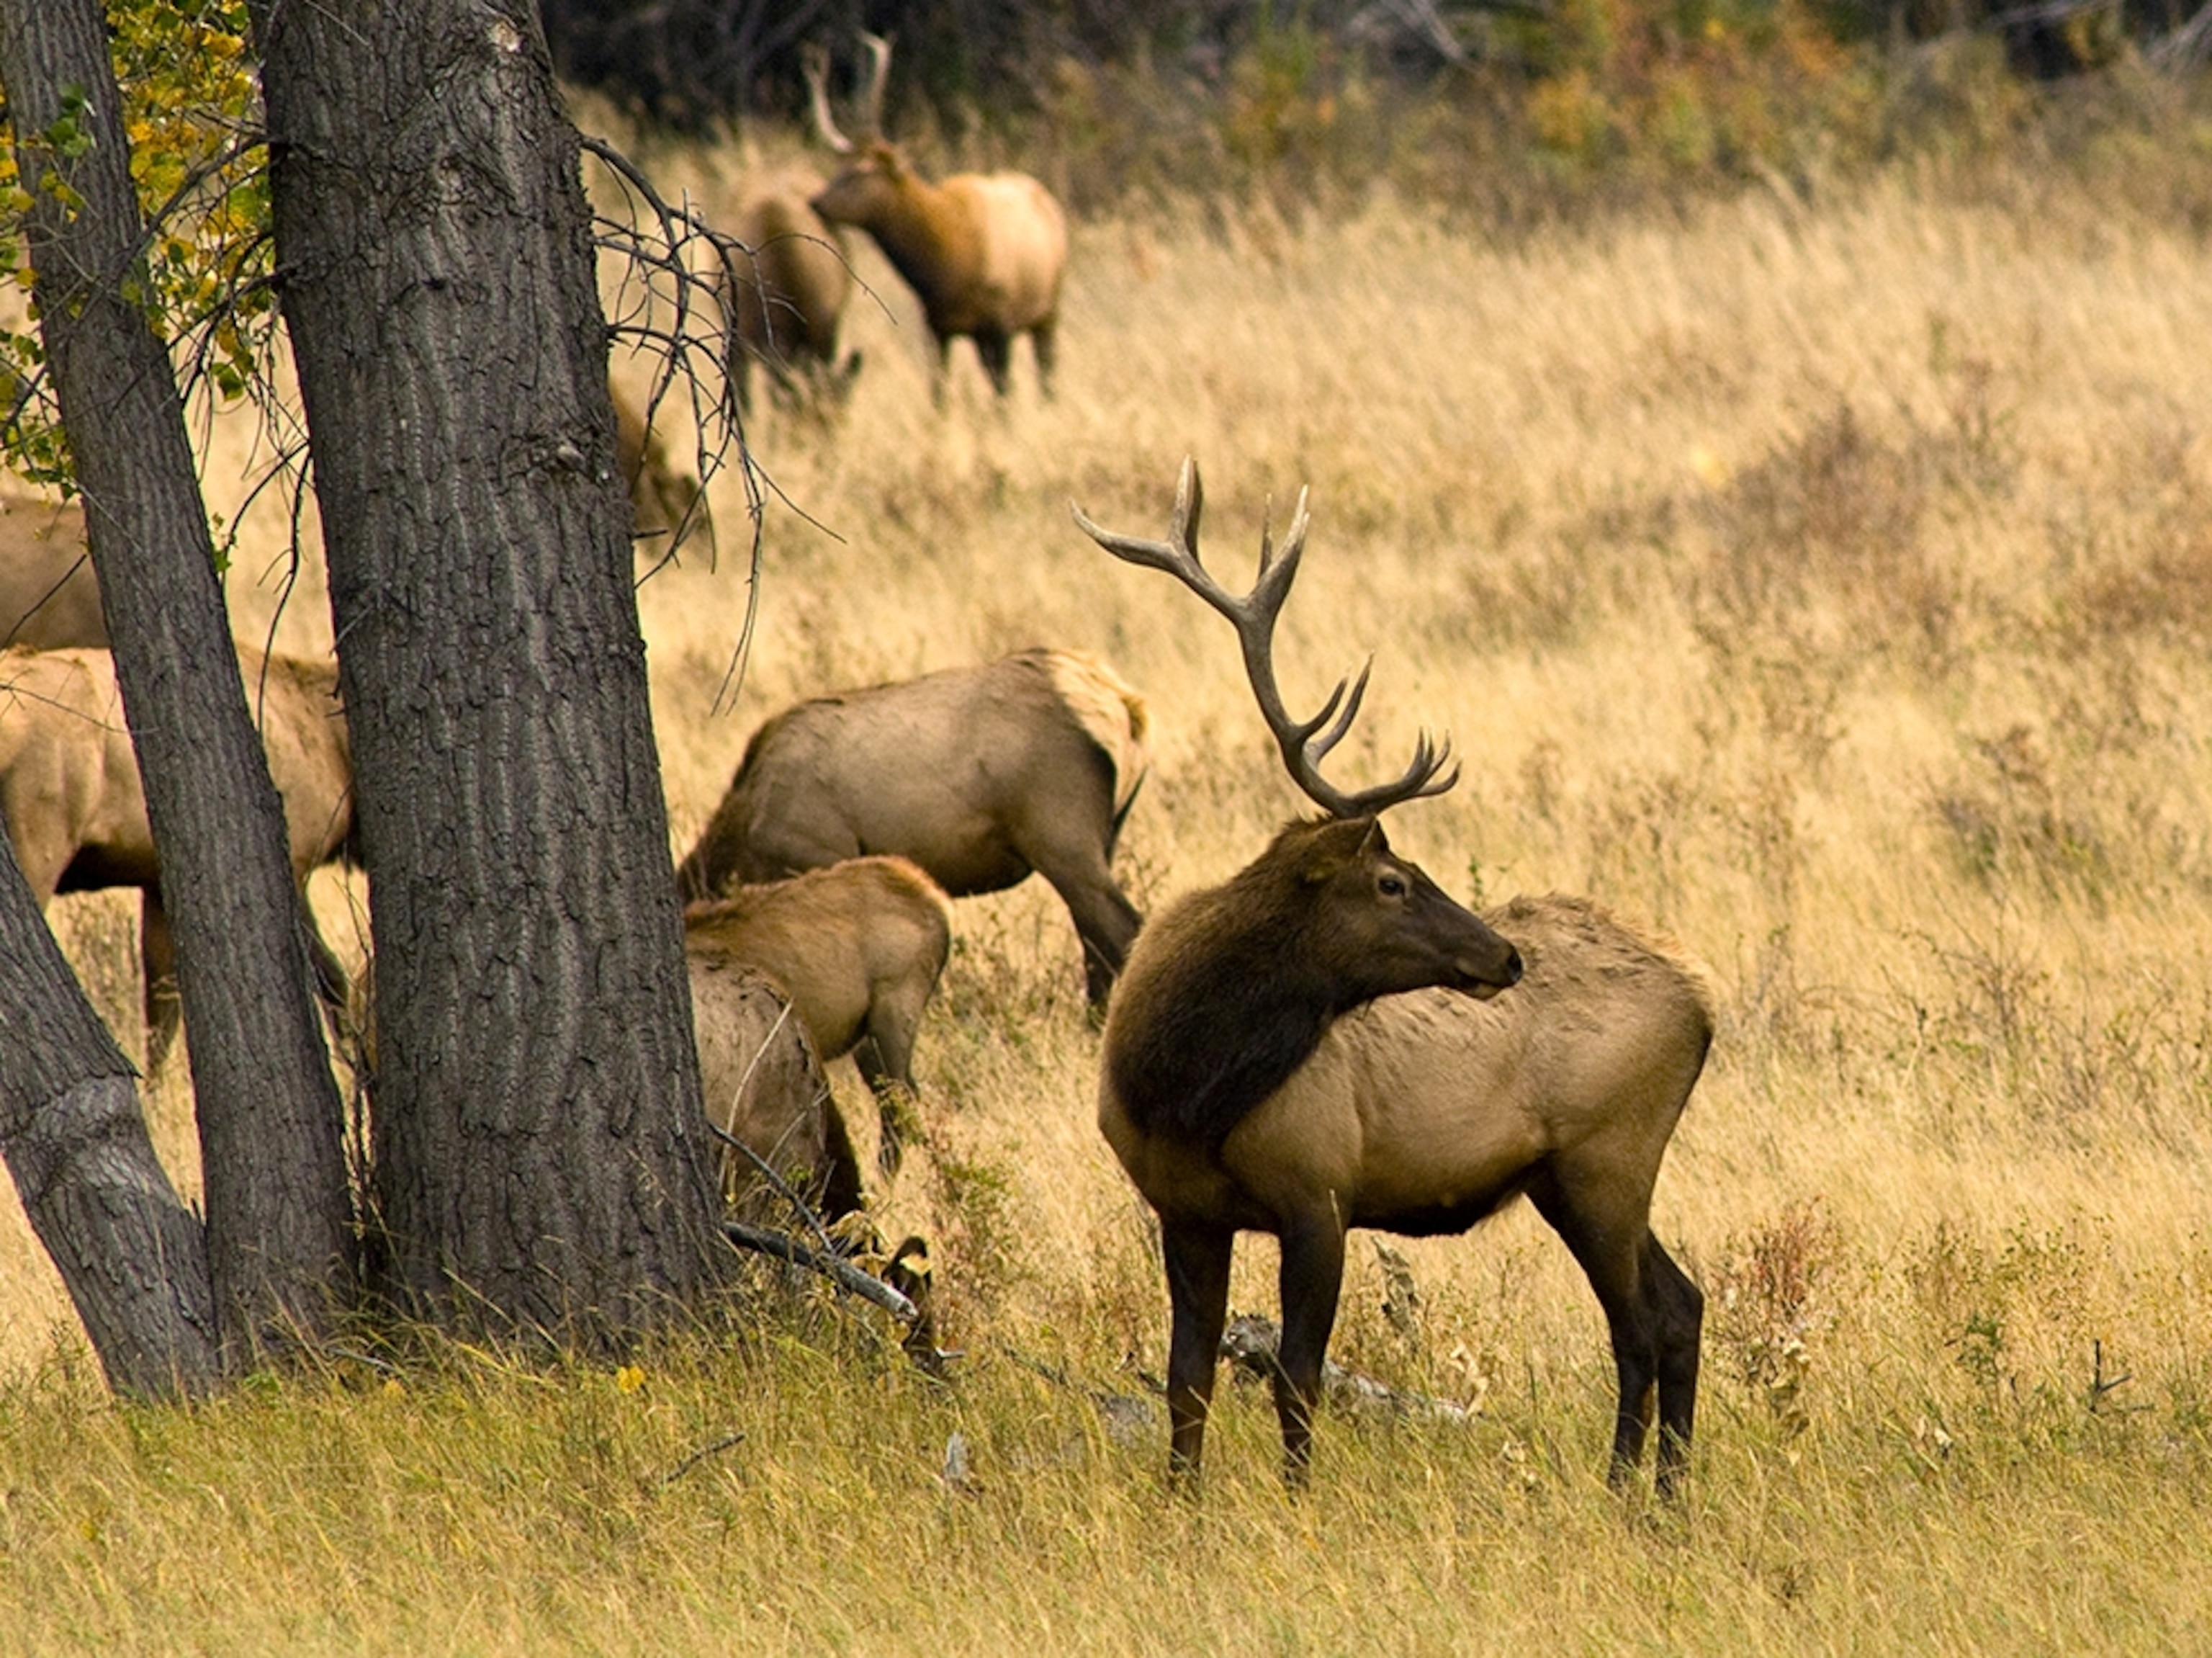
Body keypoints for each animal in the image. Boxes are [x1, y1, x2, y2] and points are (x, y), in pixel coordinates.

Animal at [0, 642, 356, 1068]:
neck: (334, 749)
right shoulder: (296, 862)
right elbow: (332, 978)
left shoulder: (155, 884)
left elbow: (163, 1006)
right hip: (40, 841)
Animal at [675, 647, 1147, 1014]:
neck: (742, 841)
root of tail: (1129, 710)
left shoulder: (814, 855)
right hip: (1107, 834)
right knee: (1093, 934)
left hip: (1060, 835)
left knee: (1120, 927)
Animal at [805, 33, 1067, 403]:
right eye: (841, 167)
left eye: (862, 172)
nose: (816, 202)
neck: (946, 268)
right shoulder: (936, 326)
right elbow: (938, 395)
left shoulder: (1000, 323)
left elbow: (1004, 397)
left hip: (1048, 311)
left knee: (1046, 376)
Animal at [1073, 460, 1714, 1496]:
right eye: (1391, 880)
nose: (1504, 954)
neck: (1182, 1084)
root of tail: (1706, 999)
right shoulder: (1184, 1209)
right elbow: (1187, 1377)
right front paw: (1182, 1503)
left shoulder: (1320, 1193)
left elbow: (1297, 1374)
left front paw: (1297, 1502)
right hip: (1566, 1175)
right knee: (1679, 1305)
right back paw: (1656, 1493)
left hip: (1608, 1157)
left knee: (1645, 1321)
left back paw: (1634, 1493)